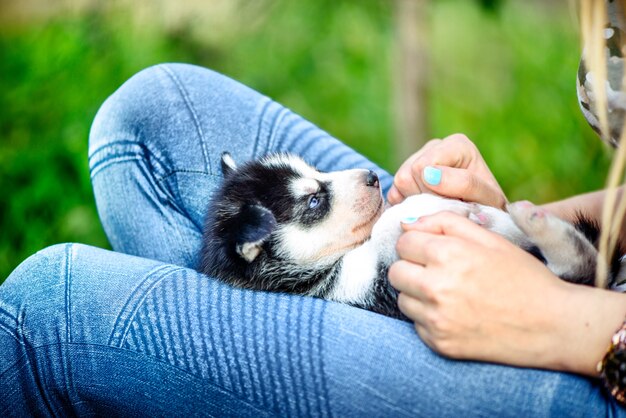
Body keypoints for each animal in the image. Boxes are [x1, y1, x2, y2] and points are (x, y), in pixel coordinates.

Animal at [197, 153, 620, 320]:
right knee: (580, 268)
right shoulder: (371, 291)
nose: (372, 176)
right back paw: (531, 220)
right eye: (314, 200)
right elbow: (386, 226)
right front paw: (418, 209)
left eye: (316, 170)